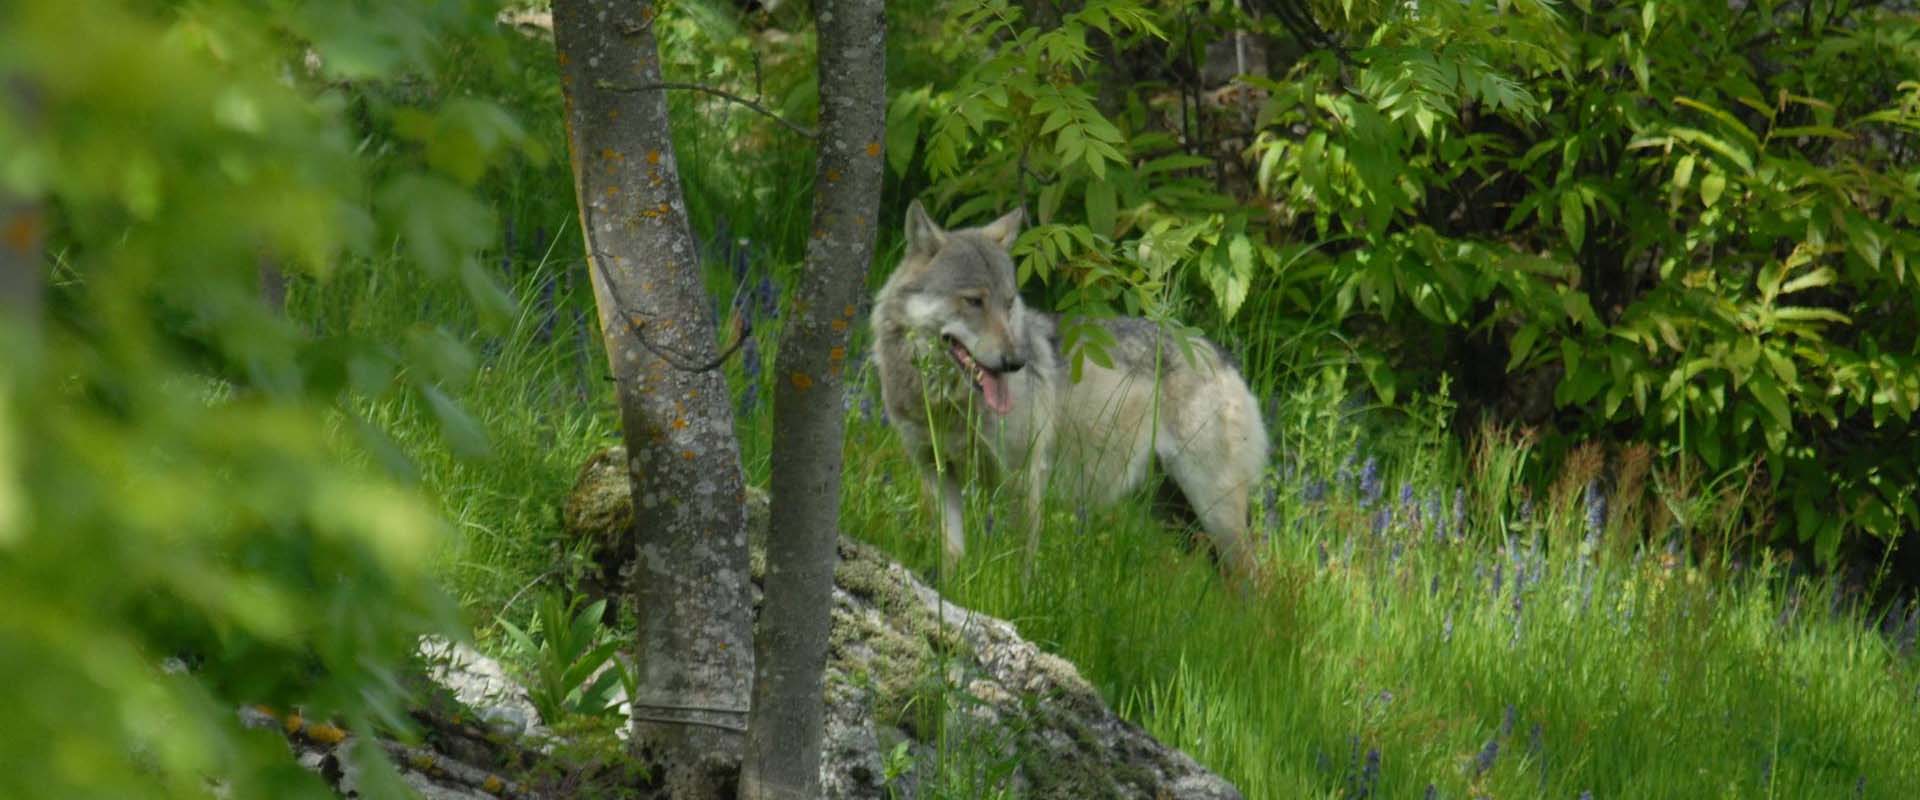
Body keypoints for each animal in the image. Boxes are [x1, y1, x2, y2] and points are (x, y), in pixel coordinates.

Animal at [875, 196, 1274, 575]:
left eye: (1008, 304)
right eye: (974, 301)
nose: (1017, 361)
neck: (945, 403)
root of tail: (1220, 354)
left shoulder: (1023, 477)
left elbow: (1020, 562)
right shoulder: (937, 472)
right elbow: (952, 554)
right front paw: (948, 591)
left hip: (1214, 513)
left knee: (1257, 580)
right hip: (1177, 519)